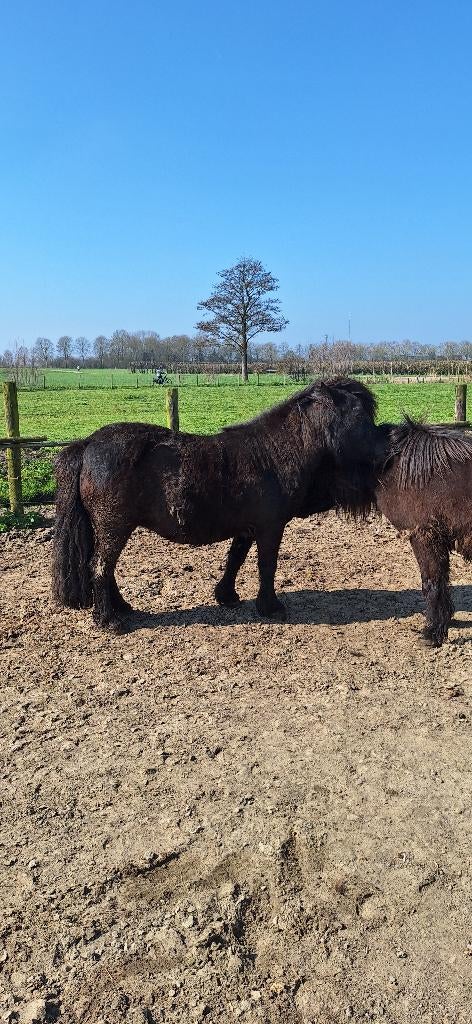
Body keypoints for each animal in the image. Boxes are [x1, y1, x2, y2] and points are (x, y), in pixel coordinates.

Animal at [52, 377, 383, 631]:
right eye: (359, 414)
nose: (385, 448)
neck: (276, 452)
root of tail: (88, 444)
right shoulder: (270, 527)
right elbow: (267, 565)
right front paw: (270, 606)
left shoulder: (248, 528)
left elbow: (235, 558)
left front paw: (226, 595)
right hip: (113, 526)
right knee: (100, 566)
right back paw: (107, 619)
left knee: (105, 568)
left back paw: (122, 607)